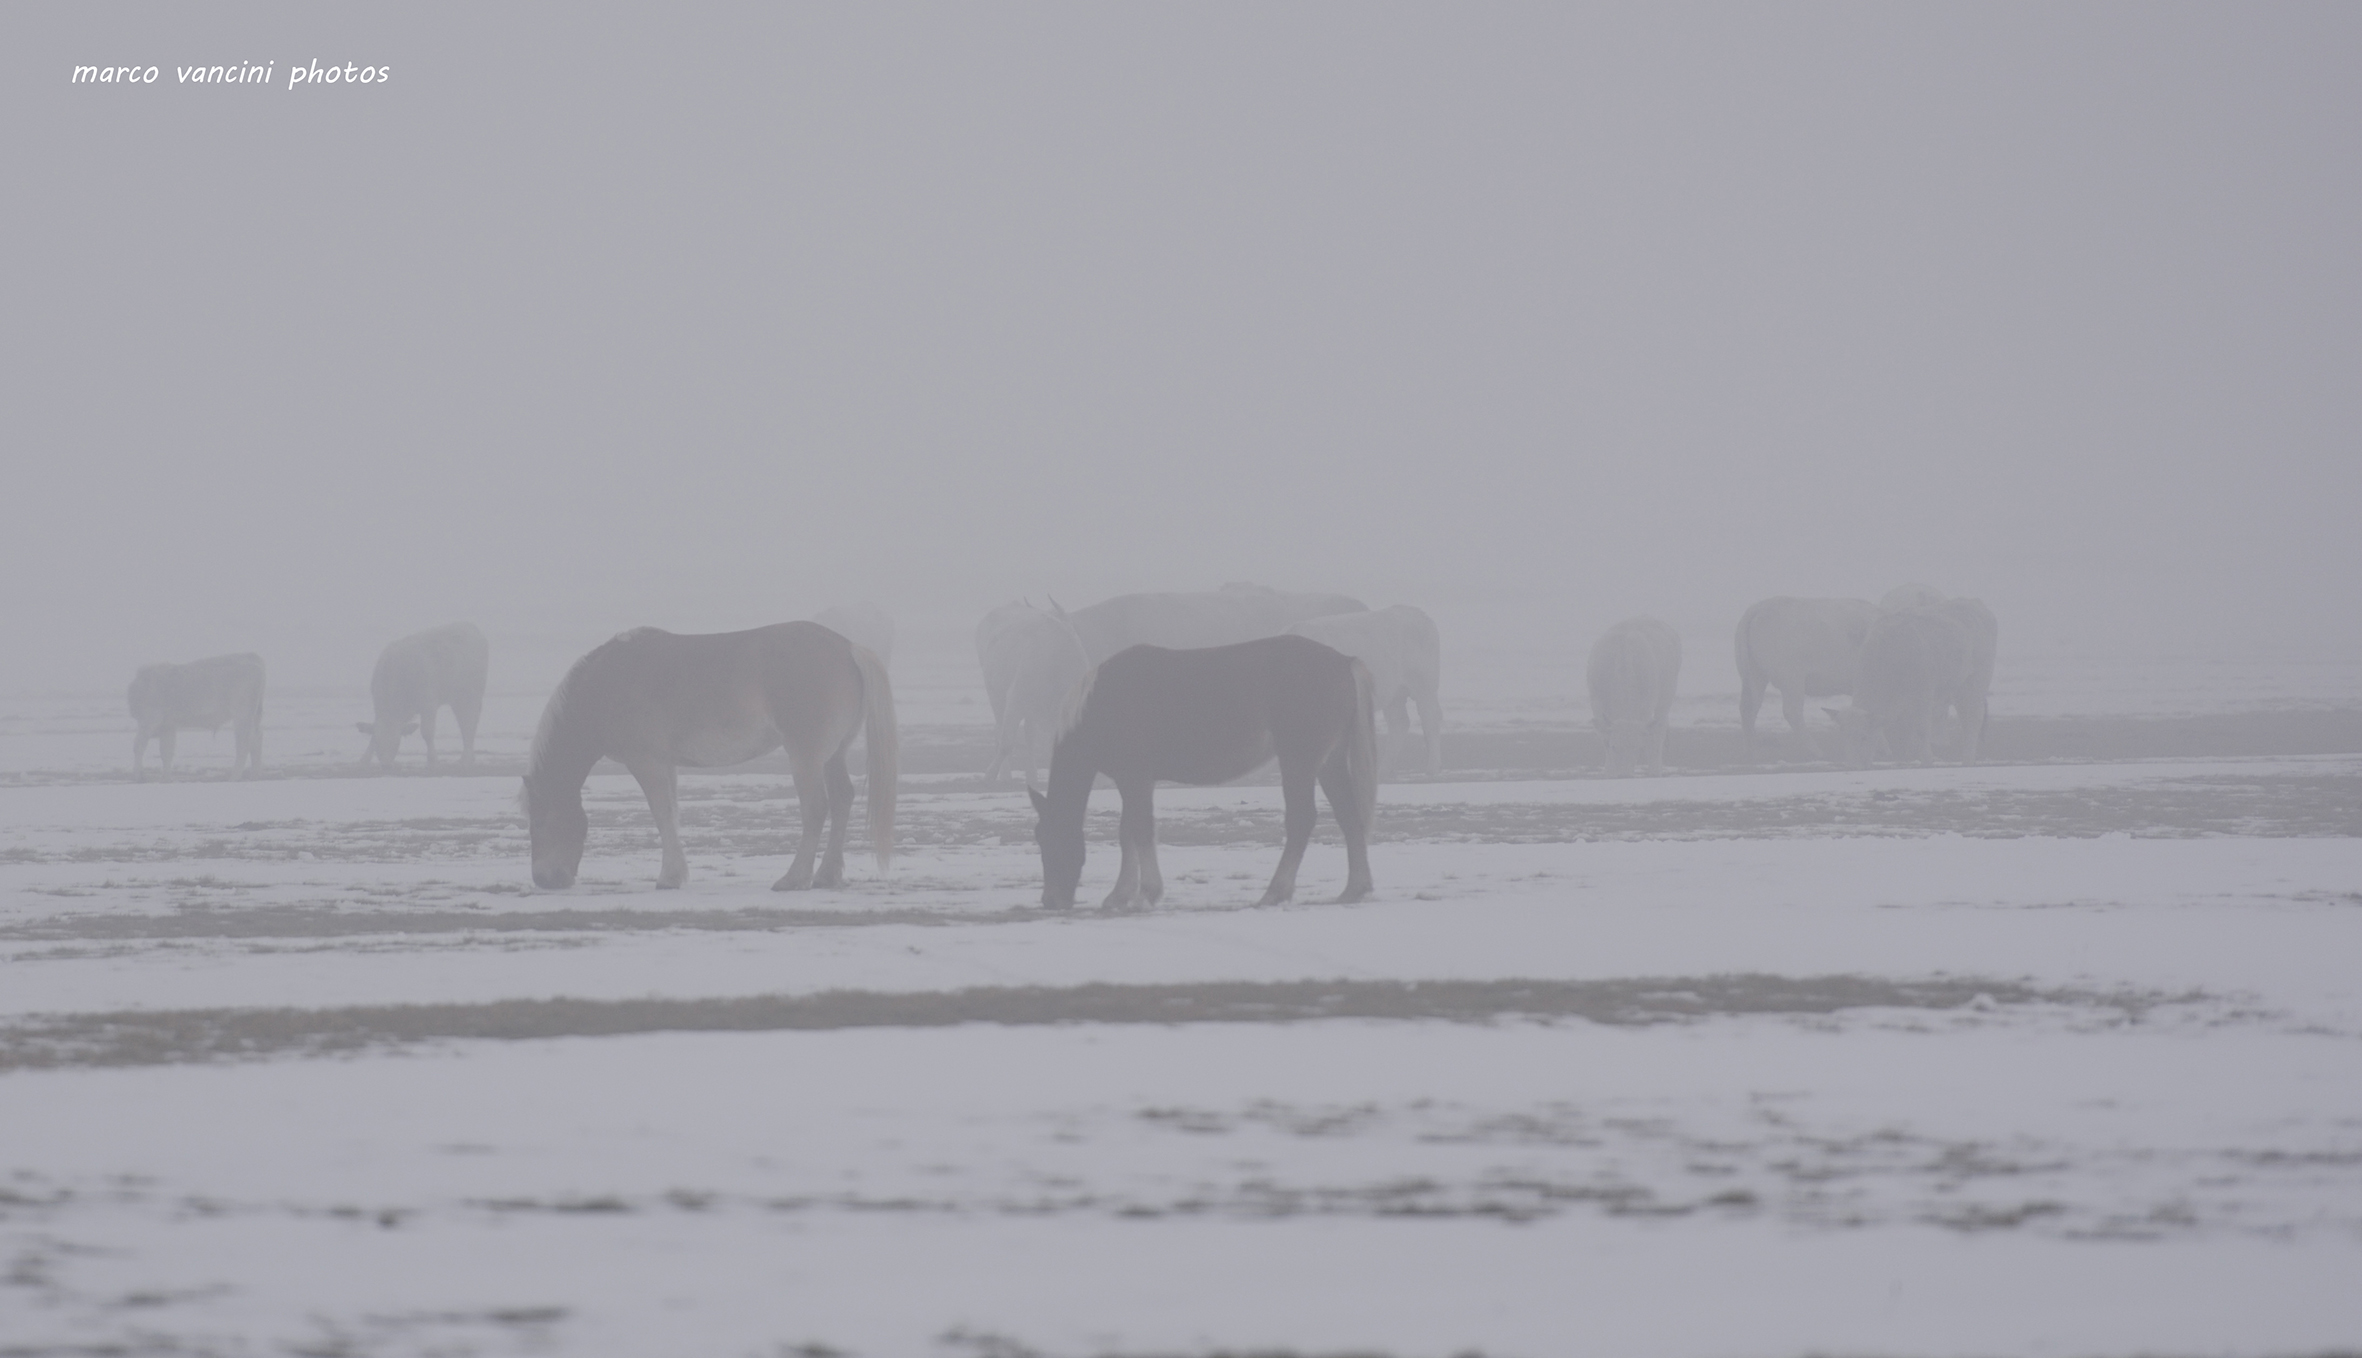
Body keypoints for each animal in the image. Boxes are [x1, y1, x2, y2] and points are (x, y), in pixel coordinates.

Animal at [521, 622, 896, 891]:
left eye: (538, 821)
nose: (543, 879)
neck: (608, 684)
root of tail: (848, 648)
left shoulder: (646, 762)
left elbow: (661, 814)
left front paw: (668, 877)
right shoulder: (665, 764)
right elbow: (672, 814)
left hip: (806, 756)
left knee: (817, 808)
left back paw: (794, 879)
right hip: (833, 755)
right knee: (843, 799)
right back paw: (826, 876)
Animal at [1029, 634, 1377, 910]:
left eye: (1047, 838)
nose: (1050, 901)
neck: (1101, 704)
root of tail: (1343, 662)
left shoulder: (1134, 778)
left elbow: (1139, 830)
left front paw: (1145, 894)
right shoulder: (1136, 781)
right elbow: (1128, 831)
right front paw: (1121, 894)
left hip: (1299, 762)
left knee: (1302, 820)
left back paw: (1274, 893)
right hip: (1329, 764)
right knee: (1349, 817)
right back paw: (1353, 889)